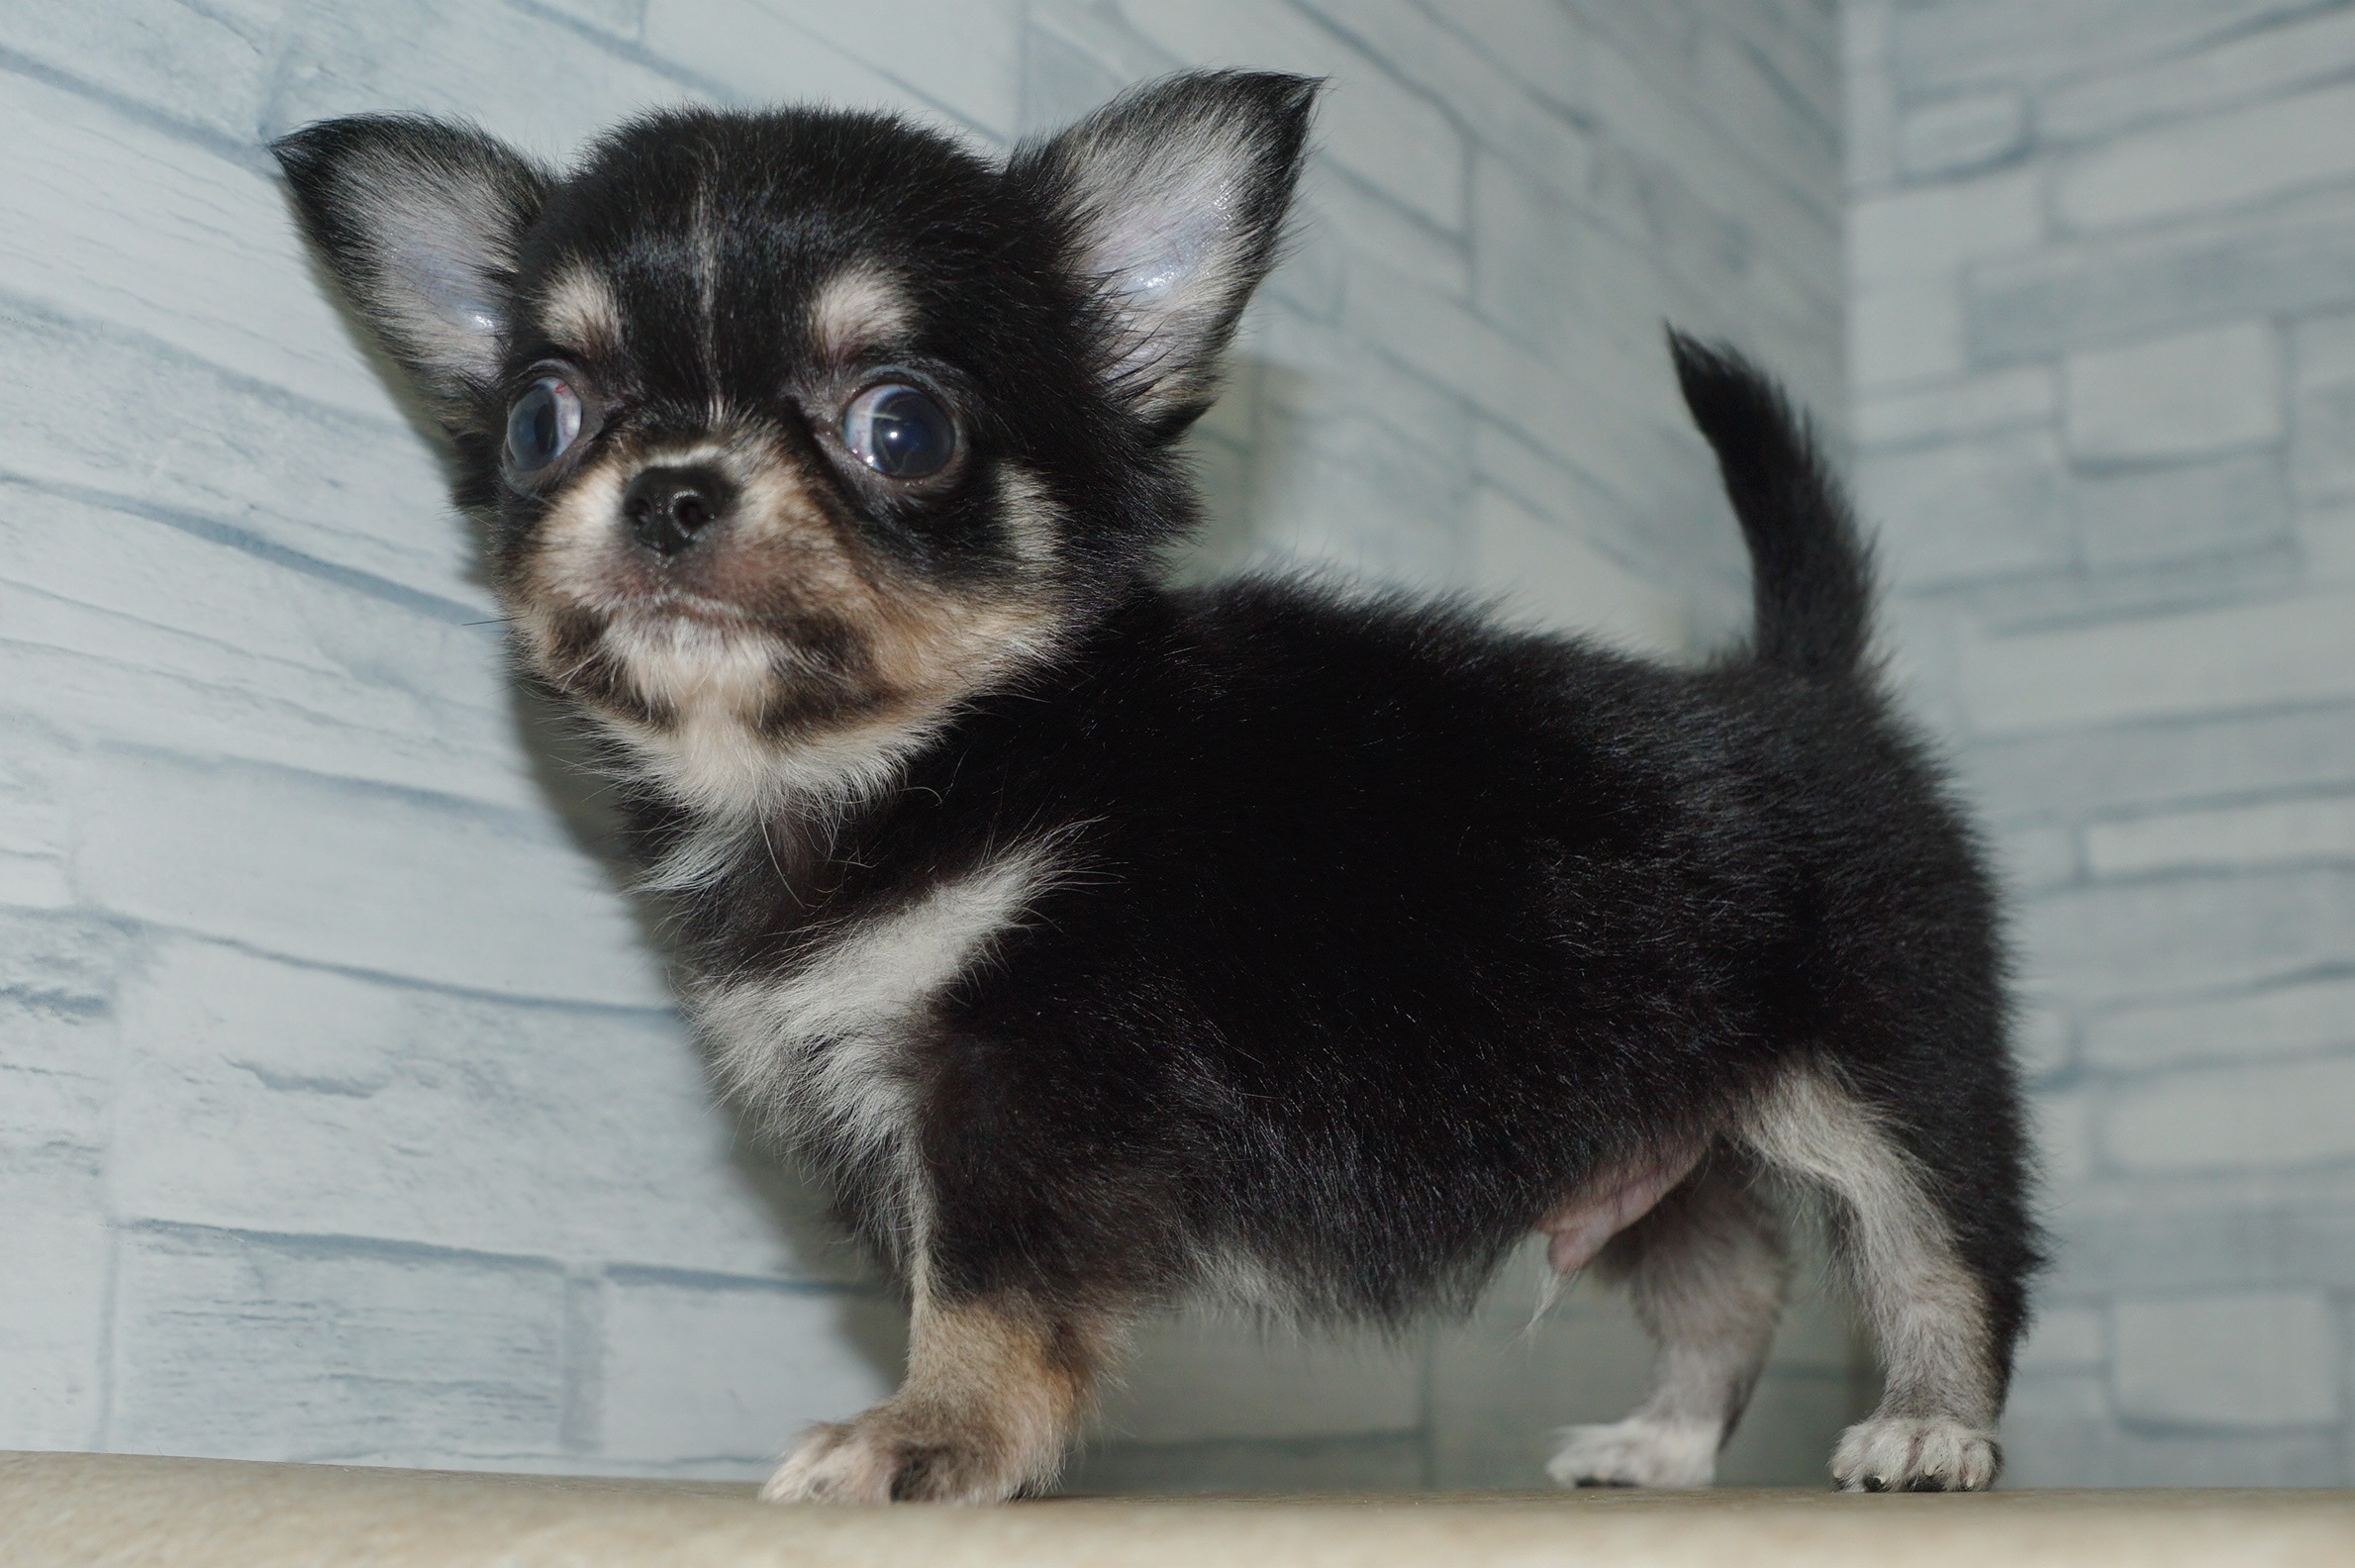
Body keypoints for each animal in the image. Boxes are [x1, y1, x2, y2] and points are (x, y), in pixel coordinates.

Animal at [270, 70, 2043, 1488]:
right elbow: (952, 1283)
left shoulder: (1027, 1084)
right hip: (1641, 1120)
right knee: (1728, 1278)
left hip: (1893, 1064)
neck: (907, 763)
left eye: (901, 428)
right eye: (540, 420)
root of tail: (1800, 684)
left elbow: (984, 1293)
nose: (672, 488)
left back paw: (1928, 1429)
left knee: (1942, 1253)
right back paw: (1662, 1446)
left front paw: (925, 1438)